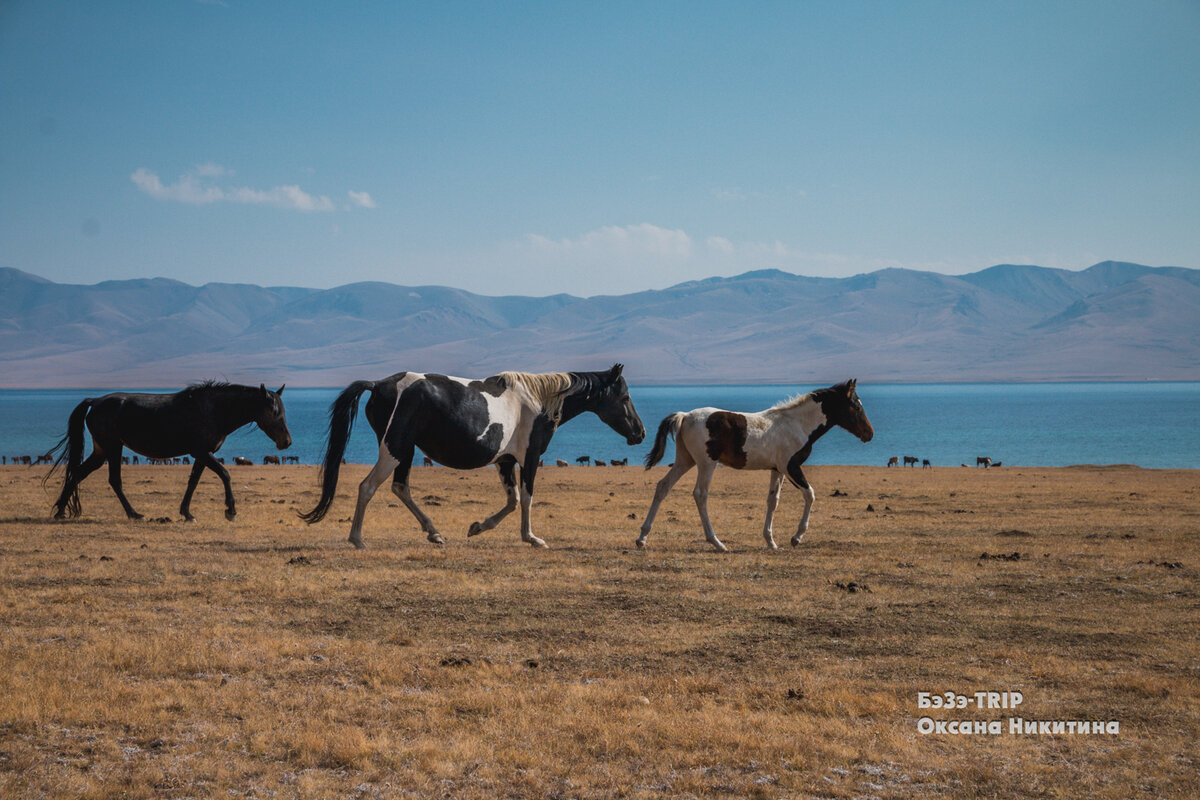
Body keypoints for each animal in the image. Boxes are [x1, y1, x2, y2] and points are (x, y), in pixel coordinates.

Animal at [48, 383, 292, 522]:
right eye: (273, 411)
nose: (287, 442)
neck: (213, 410)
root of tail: (95, 401)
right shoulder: (201, 452)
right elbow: (224, 474)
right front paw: (230, 510)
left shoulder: (202, 454)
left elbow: (193, 481)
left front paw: (186, 513)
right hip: (113, 447)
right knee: (114, 480)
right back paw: (133, 513)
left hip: (101, 451)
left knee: (78, 473)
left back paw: (60, 511)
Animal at [300, 367, 648, 546]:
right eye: (625, 397)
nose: (640, 433)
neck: (539, 400)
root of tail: (379, 384)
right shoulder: (530, 456)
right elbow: (527, 498)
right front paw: (531, 537)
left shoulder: (505, 461)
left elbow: (512, 501)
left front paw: (478, 526)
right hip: (395, 449)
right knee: (368, 487)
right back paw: (357, 538)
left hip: (406, 451)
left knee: (400, 488)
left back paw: (434, 532)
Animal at [638, 381, 873, 551]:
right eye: (856, 406)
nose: (869, 434)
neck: (797, 424)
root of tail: (685, 416)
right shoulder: (791, 467)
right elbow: (810, 494)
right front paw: (796, 537)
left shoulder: (777, 470)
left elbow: (772, 501)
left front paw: (771, 541)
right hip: (706, 463)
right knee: (700, 494)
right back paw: (717, 542)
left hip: (685, 460)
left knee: (663, 487)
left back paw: (642, 537)